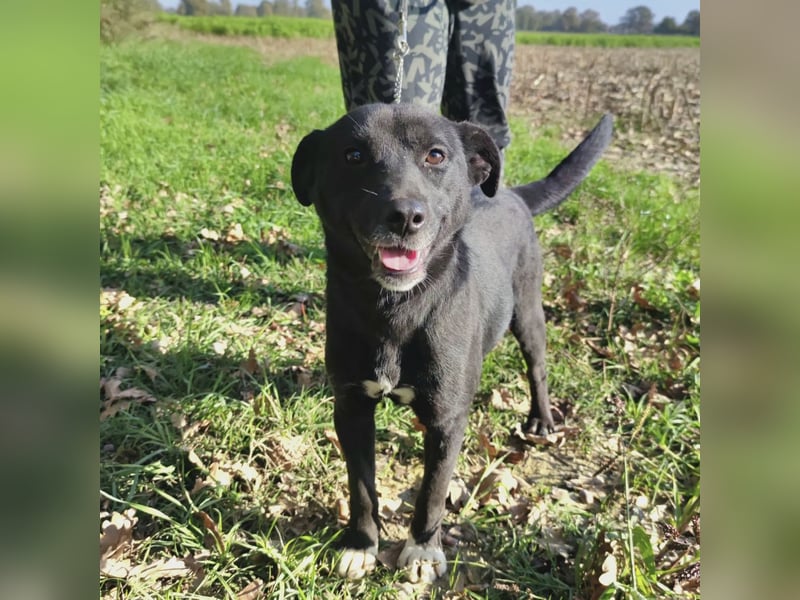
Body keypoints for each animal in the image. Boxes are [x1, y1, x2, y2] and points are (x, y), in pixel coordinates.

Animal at [294, 104, 612, 580]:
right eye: (353, 155)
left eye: (436, 155)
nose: (405, 216)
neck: (397, 308)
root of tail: (510, 193)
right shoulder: (351, 408)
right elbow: (362, 489)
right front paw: (361, 545)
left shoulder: (447, 420)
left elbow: (431, 494)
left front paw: (423, 551)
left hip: (528, 311)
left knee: (537, 366)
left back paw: (541, 418)